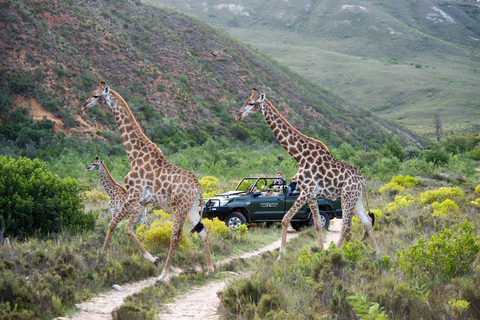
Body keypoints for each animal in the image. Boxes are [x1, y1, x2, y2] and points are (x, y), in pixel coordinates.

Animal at [82, 81, 214, 282]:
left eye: (96, 95)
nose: (84, 105)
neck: (134, 154)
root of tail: (198, 186)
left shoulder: (133, 194)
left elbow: (113, 224)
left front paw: (102, 257)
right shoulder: (142, 201)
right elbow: (129, 229)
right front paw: (152, 259)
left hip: (178, 205)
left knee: (176, 237)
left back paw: (163, 276)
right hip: (191, 206)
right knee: (203, 231)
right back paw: (210, 269)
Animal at [235, 87, 378, 260]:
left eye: (252, 103)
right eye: (245, 101)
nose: (238, 115)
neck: (300, 156)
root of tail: (363, 180)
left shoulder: (306, 191)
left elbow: (285, 219)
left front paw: (280, 257)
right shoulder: (312, 195)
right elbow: (317, 224)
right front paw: (320, 251)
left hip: (347, 196)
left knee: (347, 224)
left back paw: (336, 252)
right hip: (356, 197)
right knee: (367, 221)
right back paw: (378, 254)